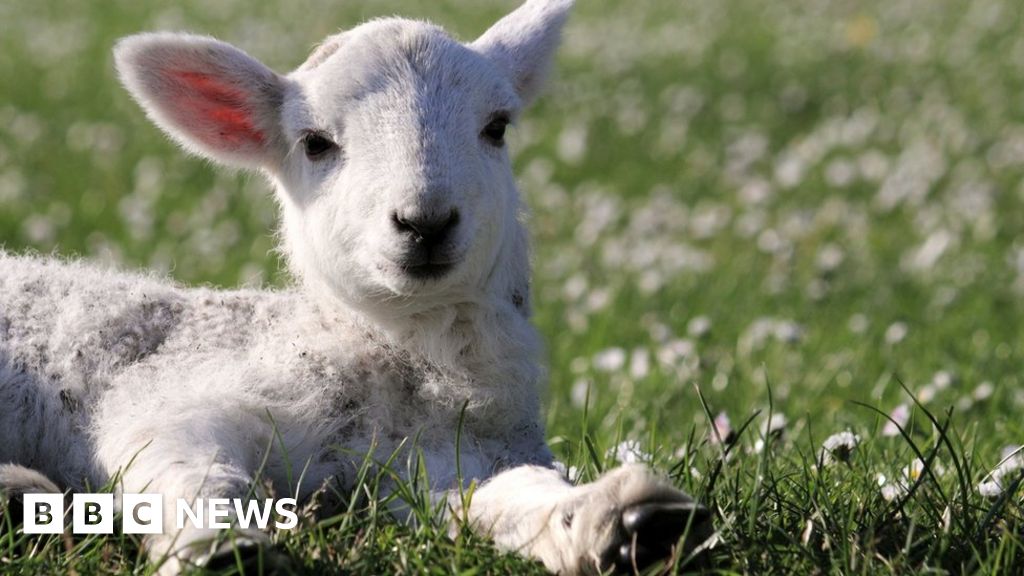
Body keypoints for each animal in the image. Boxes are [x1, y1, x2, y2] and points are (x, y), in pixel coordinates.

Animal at [0, 2, 716, 569]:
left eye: (496, 127)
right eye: (315, 143)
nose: (425, 222)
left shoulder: (450, 454)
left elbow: (509, 494)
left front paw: (623, 520)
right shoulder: (177, 396)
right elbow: (182, 465)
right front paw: (221, 548)